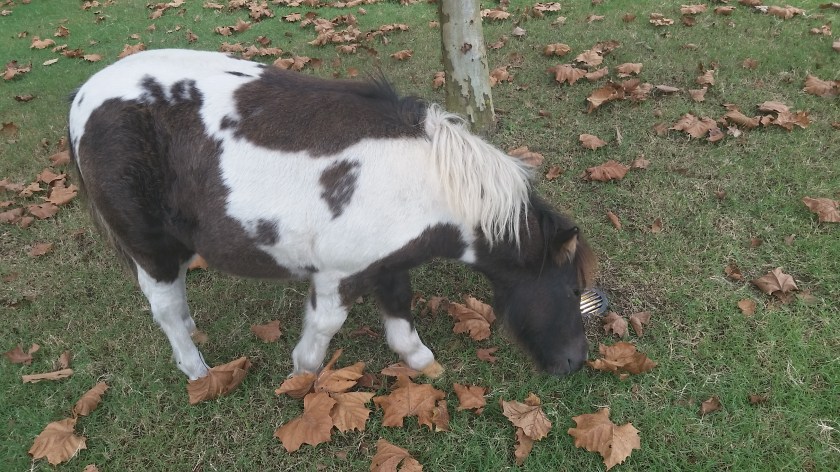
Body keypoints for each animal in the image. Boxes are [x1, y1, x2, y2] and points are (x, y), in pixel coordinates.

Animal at [68, 49, 595, 381]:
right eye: (573, 290)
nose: (575, 363)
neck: (425, 185)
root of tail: (82, 99)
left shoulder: (388, 264)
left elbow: (400, 320)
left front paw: (424, 364)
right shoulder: (338, 276)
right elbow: (322, 331)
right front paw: (301, 377)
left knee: (177, 304)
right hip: (149, 248)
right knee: (166, 310)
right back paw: (199, 374)